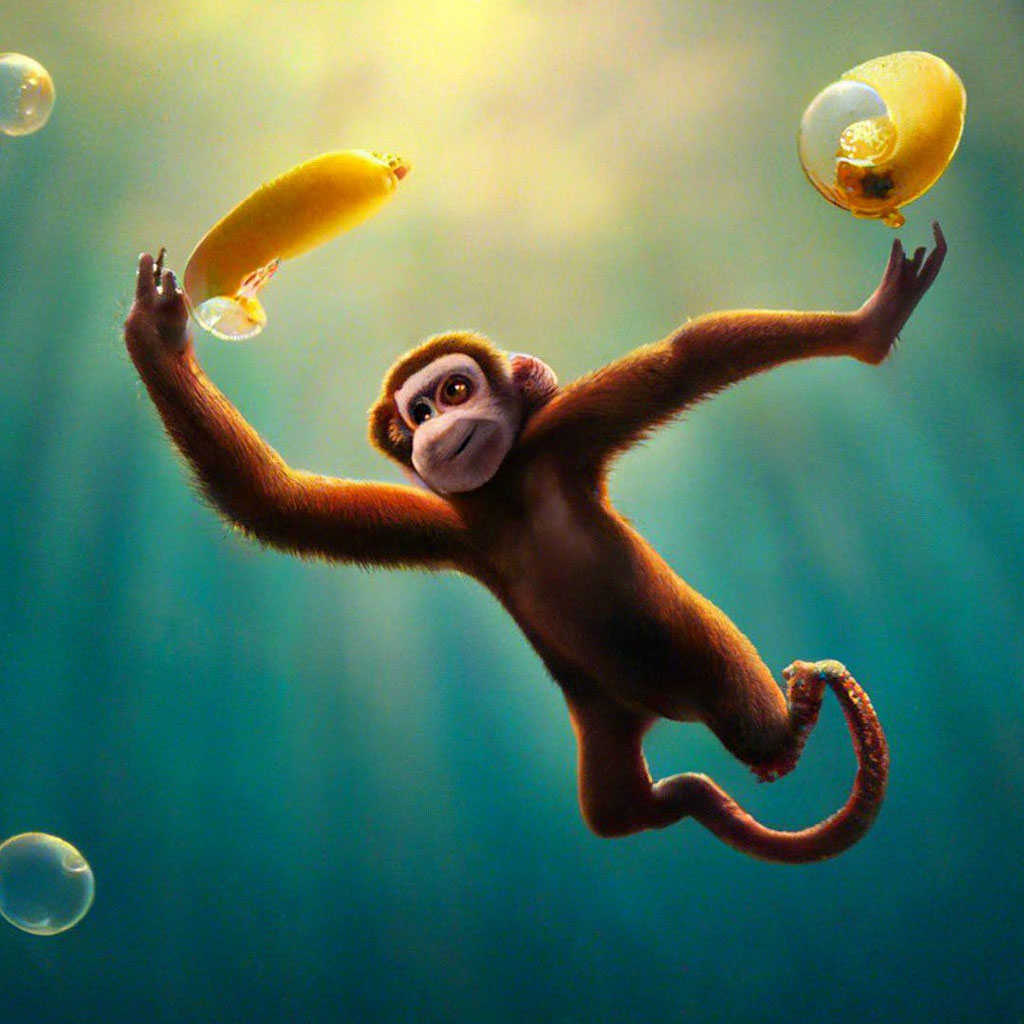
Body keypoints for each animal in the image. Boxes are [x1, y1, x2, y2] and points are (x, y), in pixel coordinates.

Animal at [124, 223, 946, 862]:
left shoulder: (565, 433)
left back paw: (786, 730)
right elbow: (273, 502)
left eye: (454, 392)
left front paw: (869, 330)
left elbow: (686, 358)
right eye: (417, 414)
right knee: (613, 813)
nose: (437, 432)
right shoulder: (456, 529)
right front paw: (157, 336)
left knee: (747, 725)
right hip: (603, 719)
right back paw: (688, 799)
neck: (508, 496)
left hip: (706, 655)